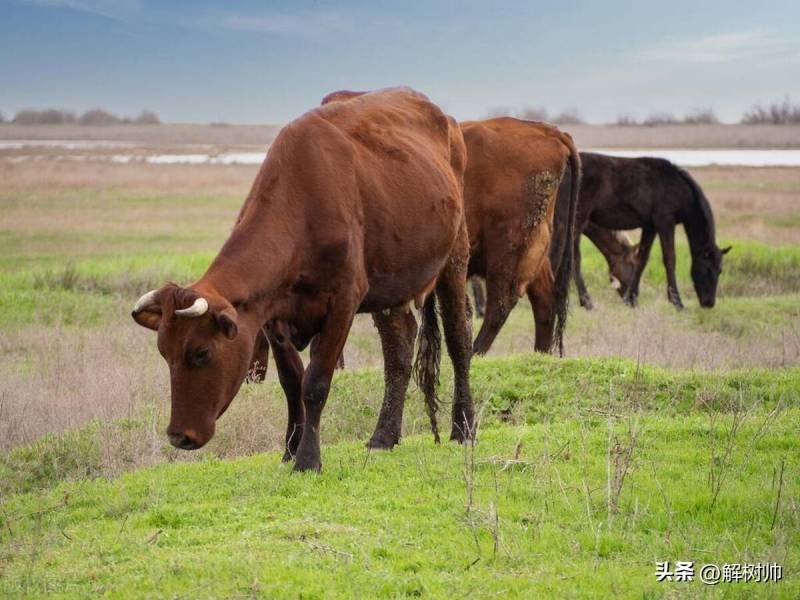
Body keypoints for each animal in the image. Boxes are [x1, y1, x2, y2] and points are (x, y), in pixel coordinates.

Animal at [130, 88, 476, 468]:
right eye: (164, 353)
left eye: (202, 352)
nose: (179, 436)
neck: (303, 203)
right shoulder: (270, 314)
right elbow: (291, 381)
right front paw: (290, 448)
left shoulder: (343, 302)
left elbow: (315, 383)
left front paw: (308, 459)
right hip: (392, 284)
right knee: (398, 350)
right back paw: (383, 436)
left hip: (455, 257)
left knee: (459, 340)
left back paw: (463, 427)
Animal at [462, 117, 580, 356]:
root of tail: (546, 130)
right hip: (535, 246)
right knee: (545, 299)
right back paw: (540, 354)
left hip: (507, 248)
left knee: (500, 304)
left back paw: (475, 353)